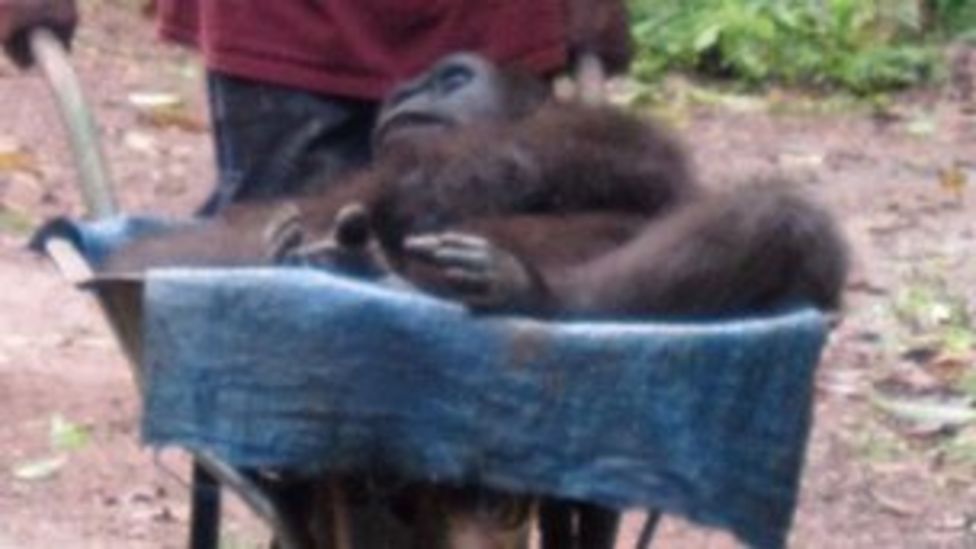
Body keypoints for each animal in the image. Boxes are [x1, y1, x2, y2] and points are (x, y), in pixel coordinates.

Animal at [100, 52, 848, 549]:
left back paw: (534, 296)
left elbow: (498, 165)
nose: (407, 94)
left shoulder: (603, 130)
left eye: (453, 79)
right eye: (407, 87)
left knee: (780, 221)